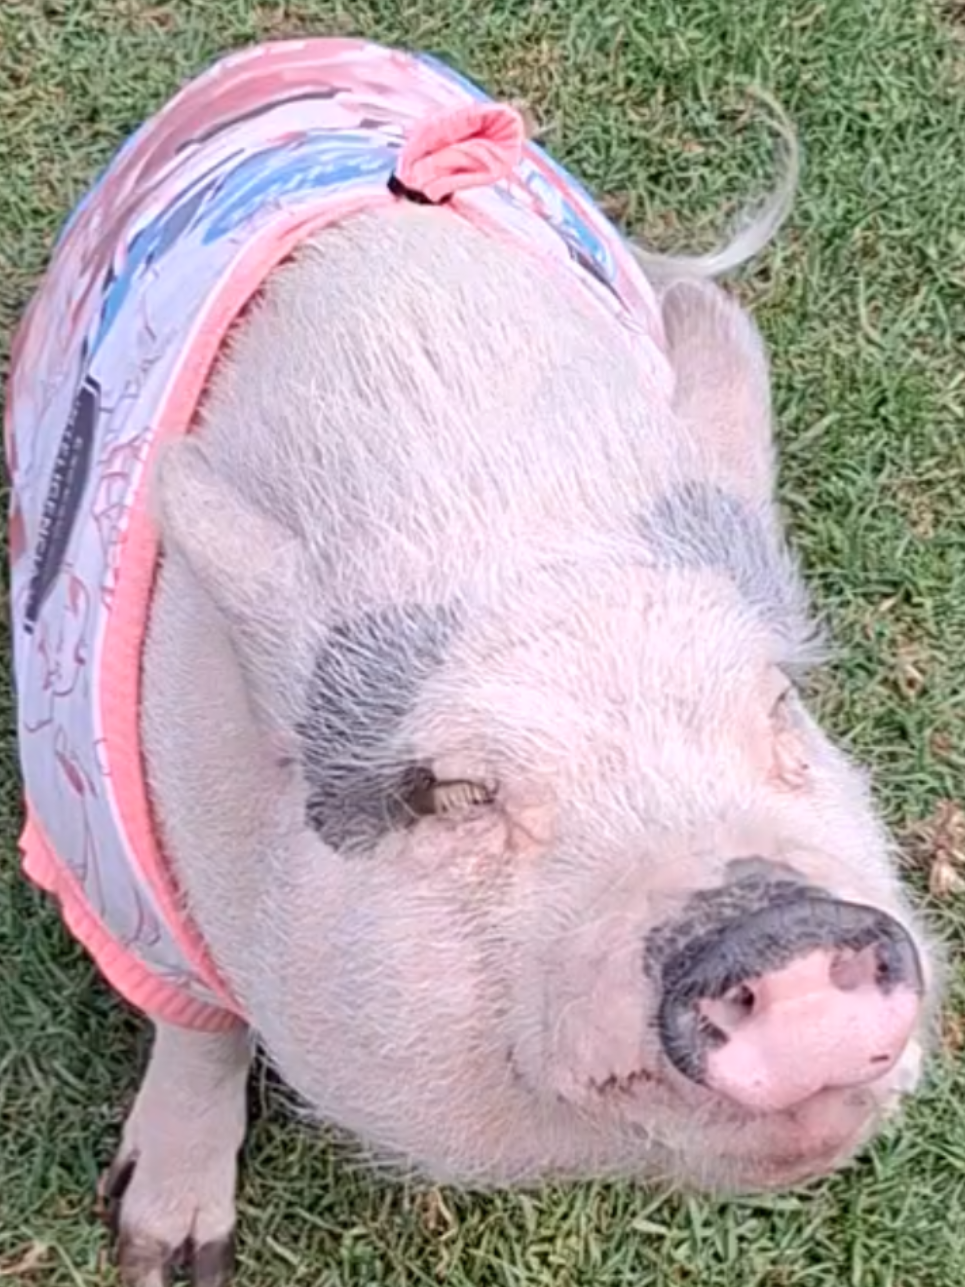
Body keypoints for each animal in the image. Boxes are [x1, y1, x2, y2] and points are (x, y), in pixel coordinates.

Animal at [5, 38, 938, 1287]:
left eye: (778, 704)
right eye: (449, 792)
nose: (778, 928)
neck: (500, 522)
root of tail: (298, 46)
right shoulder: (103, 853)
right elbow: (200, 1027)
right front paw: (159, 1256)